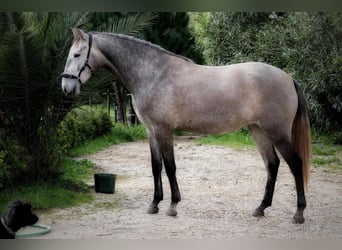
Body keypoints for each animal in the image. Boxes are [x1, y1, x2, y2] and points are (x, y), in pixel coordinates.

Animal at [60, 28, 312, 224]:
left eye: (77, 54)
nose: (66, 88)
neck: (153, 74)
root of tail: (288, 78)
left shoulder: (164, 130)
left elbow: (170, 167)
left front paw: (172, 206)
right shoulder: (151, 131)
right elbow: (156, 167)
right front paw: (154, 204)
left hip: (277, 133)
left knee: (295, 164)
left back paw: (298, 214)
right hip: (258, 130)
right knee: (272, 164)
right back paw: (260, 208)